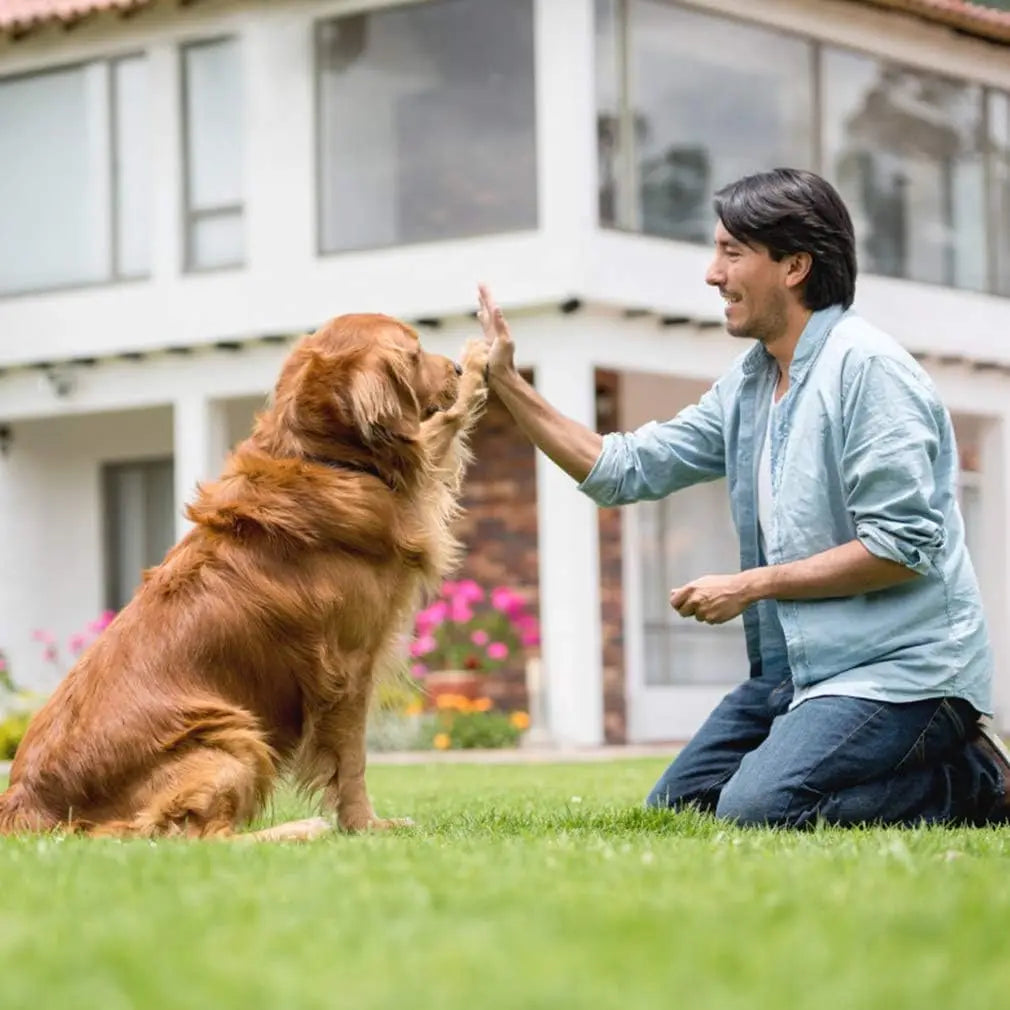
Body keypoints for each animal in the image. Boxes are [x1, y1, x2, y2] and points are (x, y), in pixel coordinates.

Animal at [0, 315, 488, 844]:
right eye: (414, 355)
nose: (454, 367)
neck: (320, 457)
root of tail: (23, 804)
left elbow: (438, 429)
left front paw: (479, 361)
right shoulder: (348, 667)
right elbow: (351, 761)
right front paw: (366, 825)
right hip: (230, 735)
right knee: (200, 837)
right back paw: (301, 828)